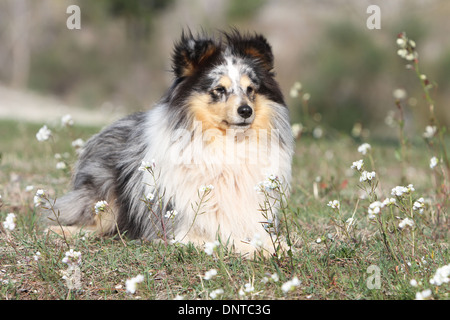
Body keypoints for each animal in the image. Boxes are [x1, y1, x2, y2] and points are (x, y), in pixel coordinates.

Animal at [44, 28, 294, 256]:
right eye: (219, 89)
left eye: (251, 89)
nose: (246, 111)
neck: (229, 143)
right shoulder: (181, 228)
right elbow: (224, 239)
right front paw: (261, 249)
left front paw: (279, 244)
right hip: (105, 200)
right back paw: (55, 232)